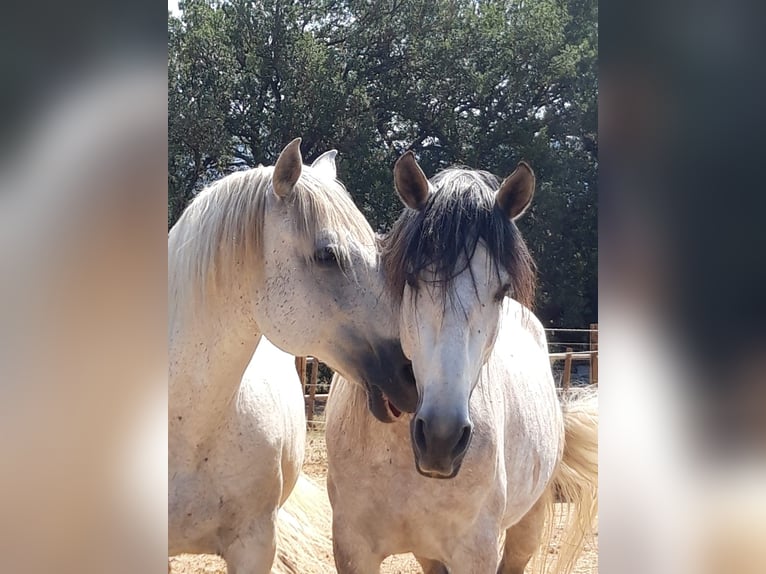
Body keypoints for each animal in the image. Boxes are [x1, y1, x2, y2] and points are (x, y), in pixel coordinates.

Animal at [324, 154, 600, 574]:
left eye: (501, 290)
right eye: (411, 278)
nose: (442, 438)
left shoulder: (474, 552)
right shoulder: (353, 550)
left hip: (528, 525)